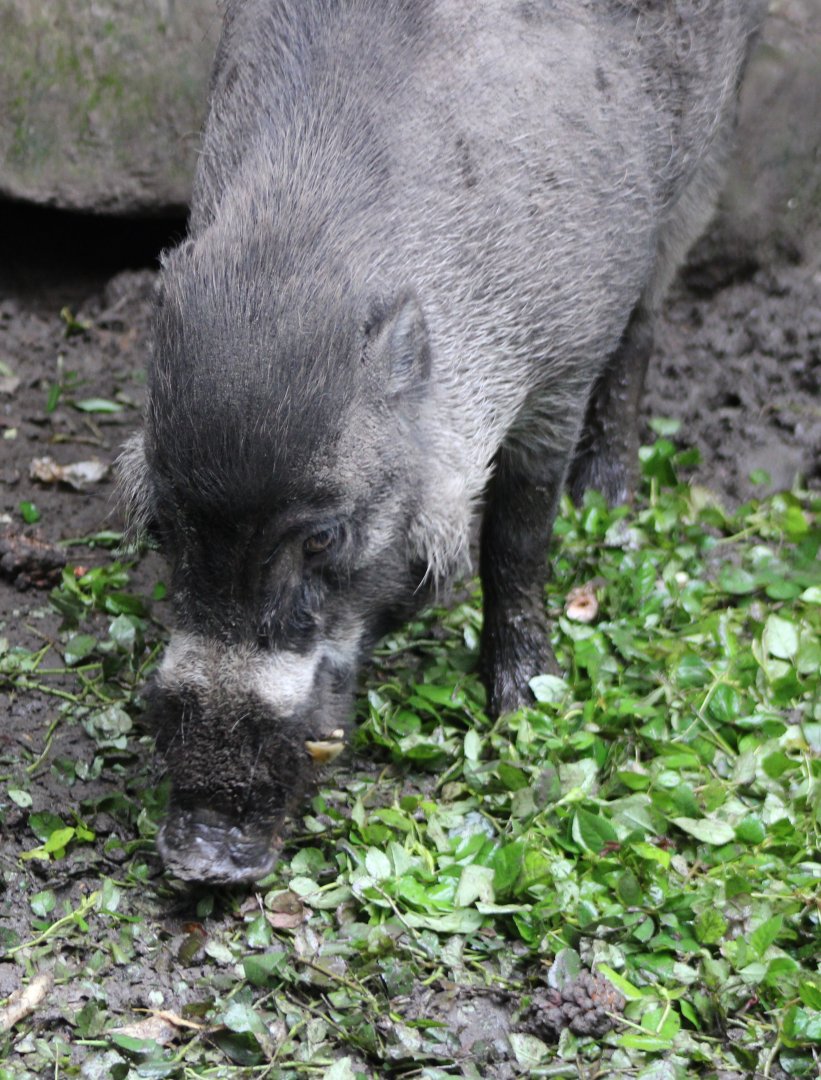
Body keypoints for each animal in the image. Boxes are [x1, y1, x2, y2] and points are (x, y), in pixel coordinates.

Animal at [118, 0, 766, 883]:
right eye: (163, 526)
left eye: (322, 538)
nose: (200, 857)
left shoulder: (557, 372)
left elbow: (518, 538)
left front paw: (524, 709)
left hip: (707, 150)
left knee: (647, 314)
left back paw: (604, 499)